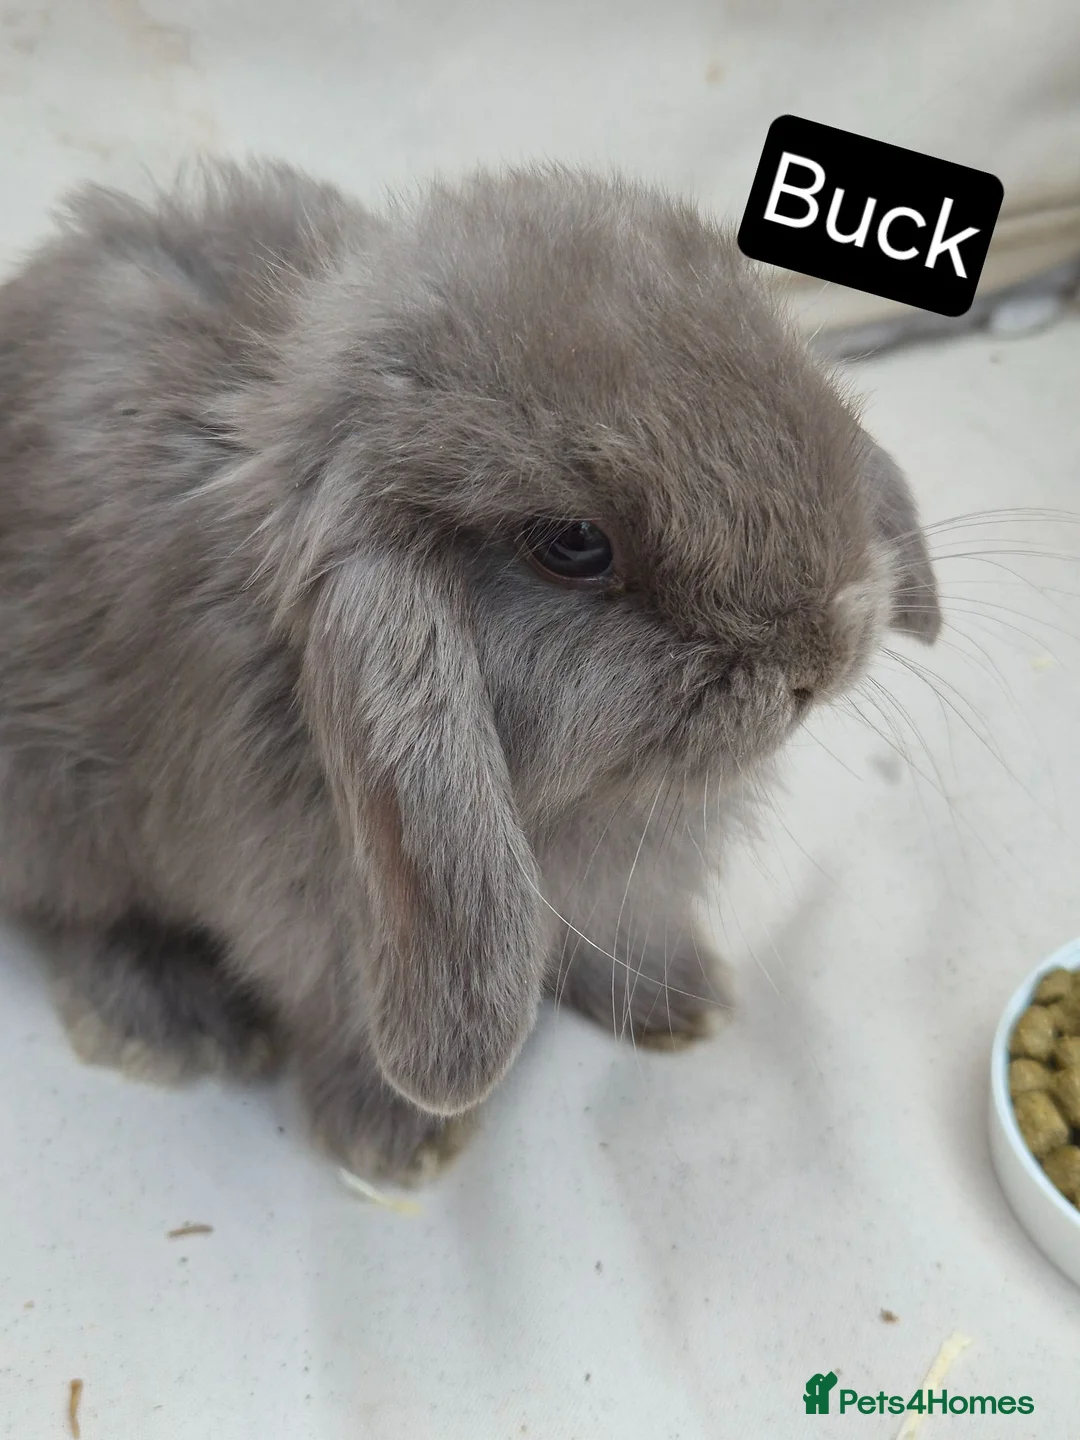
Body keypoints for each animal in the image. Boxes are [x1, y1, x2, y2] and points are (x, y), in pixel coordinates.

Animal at [0, 159, 940, 1186]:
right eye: (574, 545)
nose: (821, 656)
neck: (566, 806)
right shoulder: (323, 923)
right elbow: (343, 1016)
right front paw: (397, 1146)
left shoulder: (622, 895)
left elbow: (626, 938)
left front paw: (684, 1005)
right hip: (58, 810)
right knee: (77, 915)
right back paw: (175, 1020)